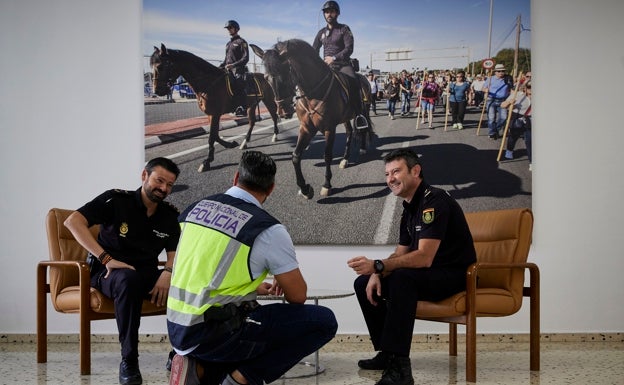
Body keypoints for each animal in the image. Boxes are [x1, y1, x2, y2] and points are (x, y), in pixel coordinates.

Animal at [150, 42, 294, 172]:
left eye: (160, 66)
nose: (157, 91)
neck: (208, 82)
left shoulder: (215, 114)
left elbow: (212, 137)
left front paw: (207, 161)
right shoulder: (211, 115)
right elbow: (215, 135)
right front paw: (230, 144)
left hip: (269, 100)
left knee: (274, 116)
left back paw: (275, 135)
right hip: (251, 105)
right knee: (252, 122)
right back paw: (245, 142)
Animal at [251, 39, 372, 198]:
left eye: (285, 74)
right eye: (266, 78)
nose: (283, 112)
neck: (313, 93)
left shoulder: (329, 128)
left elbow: (327, 156)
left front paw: (327, 185)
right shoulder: (306, 128)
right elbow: (295, 156)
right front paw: (305, 189)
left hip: (364, 110)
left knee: (364, 128)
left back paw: (363, 148)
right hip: (345, 117)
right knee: (349, 132)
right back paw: (345, 159)